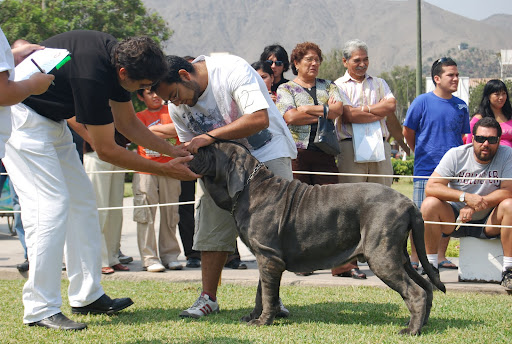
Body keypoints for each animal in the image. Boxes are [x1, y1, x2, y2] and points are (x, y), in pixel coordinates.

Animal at [188, 141, 444, 334]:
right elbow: (261, 292)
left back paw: (410, 330)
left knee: (416, 292)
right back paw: (420, 324)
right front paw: (253, 316)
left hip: (382, 257)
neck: (250, 188)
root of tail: (409, 203)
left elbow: (268, 294)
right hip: (398, 255)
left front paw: (262, 321)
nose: (192, 148)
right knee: (426, 287)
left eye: (210, 150)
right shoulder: (265, 257)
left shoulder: (269, 259)